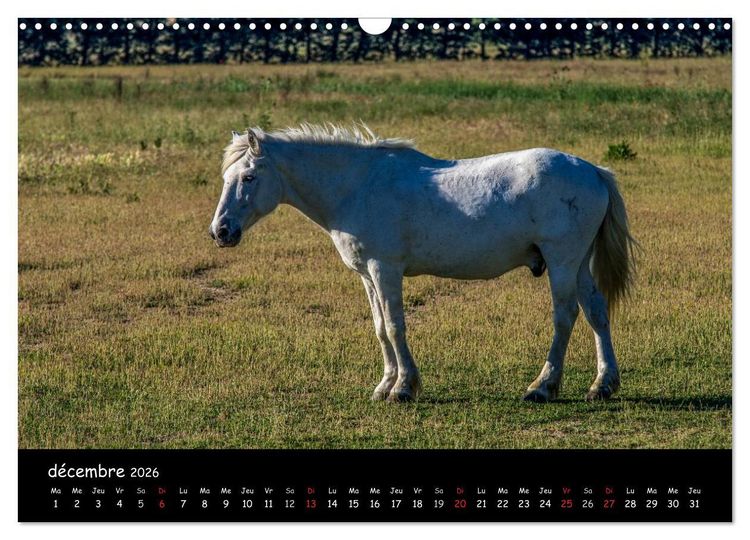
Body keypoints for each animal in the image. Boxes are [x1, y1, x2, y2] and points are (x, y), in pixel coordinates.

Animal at [209, 123, 638, 403]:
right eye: (227, 176)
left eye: (248, 177)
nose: (220, 231)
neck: (358, 186)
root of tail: (593, 171)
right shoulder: (368, 275)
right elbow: (380, 327)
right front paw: (385, 385)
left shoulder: (385, 269)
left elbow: (395, 326)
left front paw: (403, 388)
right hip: (578, 264)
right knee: (596, 312)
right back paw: (603, 385)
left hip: (562, 261)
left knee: (565, 317)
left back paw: (543, 386)